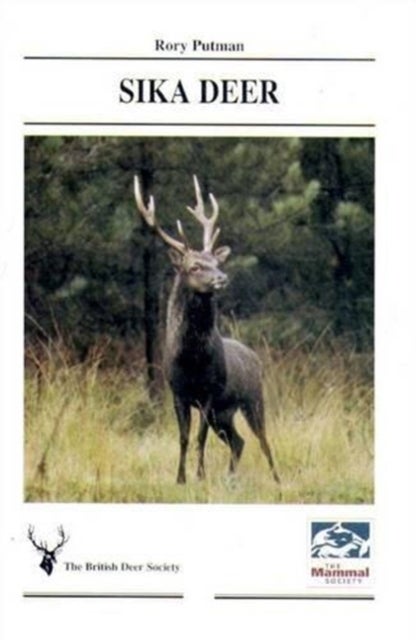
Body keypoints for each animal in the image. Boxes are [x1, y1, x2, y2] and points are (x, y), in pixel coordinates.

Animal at [134, 175, 280, 485]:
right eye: (194, 266)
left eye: (216, 261)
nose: (221, 277)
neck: (192, 359)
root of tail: (254, 356)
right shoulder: (178, 392)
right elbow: (184, 438)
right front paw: (180, 478)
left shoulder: (209, 392)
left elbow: (199, 438)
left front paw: (200, 476)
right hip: (223, 413)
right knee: (238, 441)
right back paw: (231, 478)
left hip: (252, 398)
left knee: (262, 440)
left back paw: (277, 479)